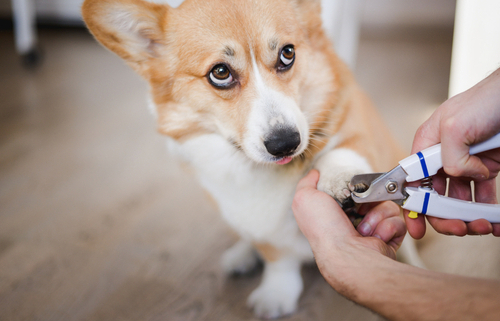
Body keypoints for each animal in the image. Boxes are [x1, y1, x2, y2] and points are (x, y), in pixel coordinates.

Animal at [82, 0, 422, 316]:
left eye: (288, 54)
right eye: (220, 72)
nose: (285, 143)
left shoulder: (359, 129)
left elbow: (343, 150)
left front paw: (337, 177)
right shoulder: (254, 220)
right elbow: (277, 258)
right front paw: (276, 292)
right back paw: (241, 255)